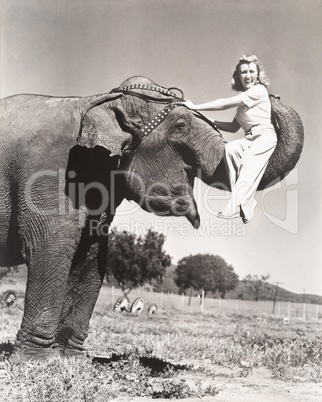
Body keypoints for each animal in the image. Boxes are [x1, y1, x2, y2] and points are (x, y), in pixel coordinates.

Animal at [0, 77, 304, 360]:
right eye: (180, 127)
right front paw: (37, 361)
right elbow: (51, 246)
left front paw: (71, 359)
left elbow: (93, 254)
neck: (99, 101)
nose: (272, 94)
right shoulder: (48, 171)